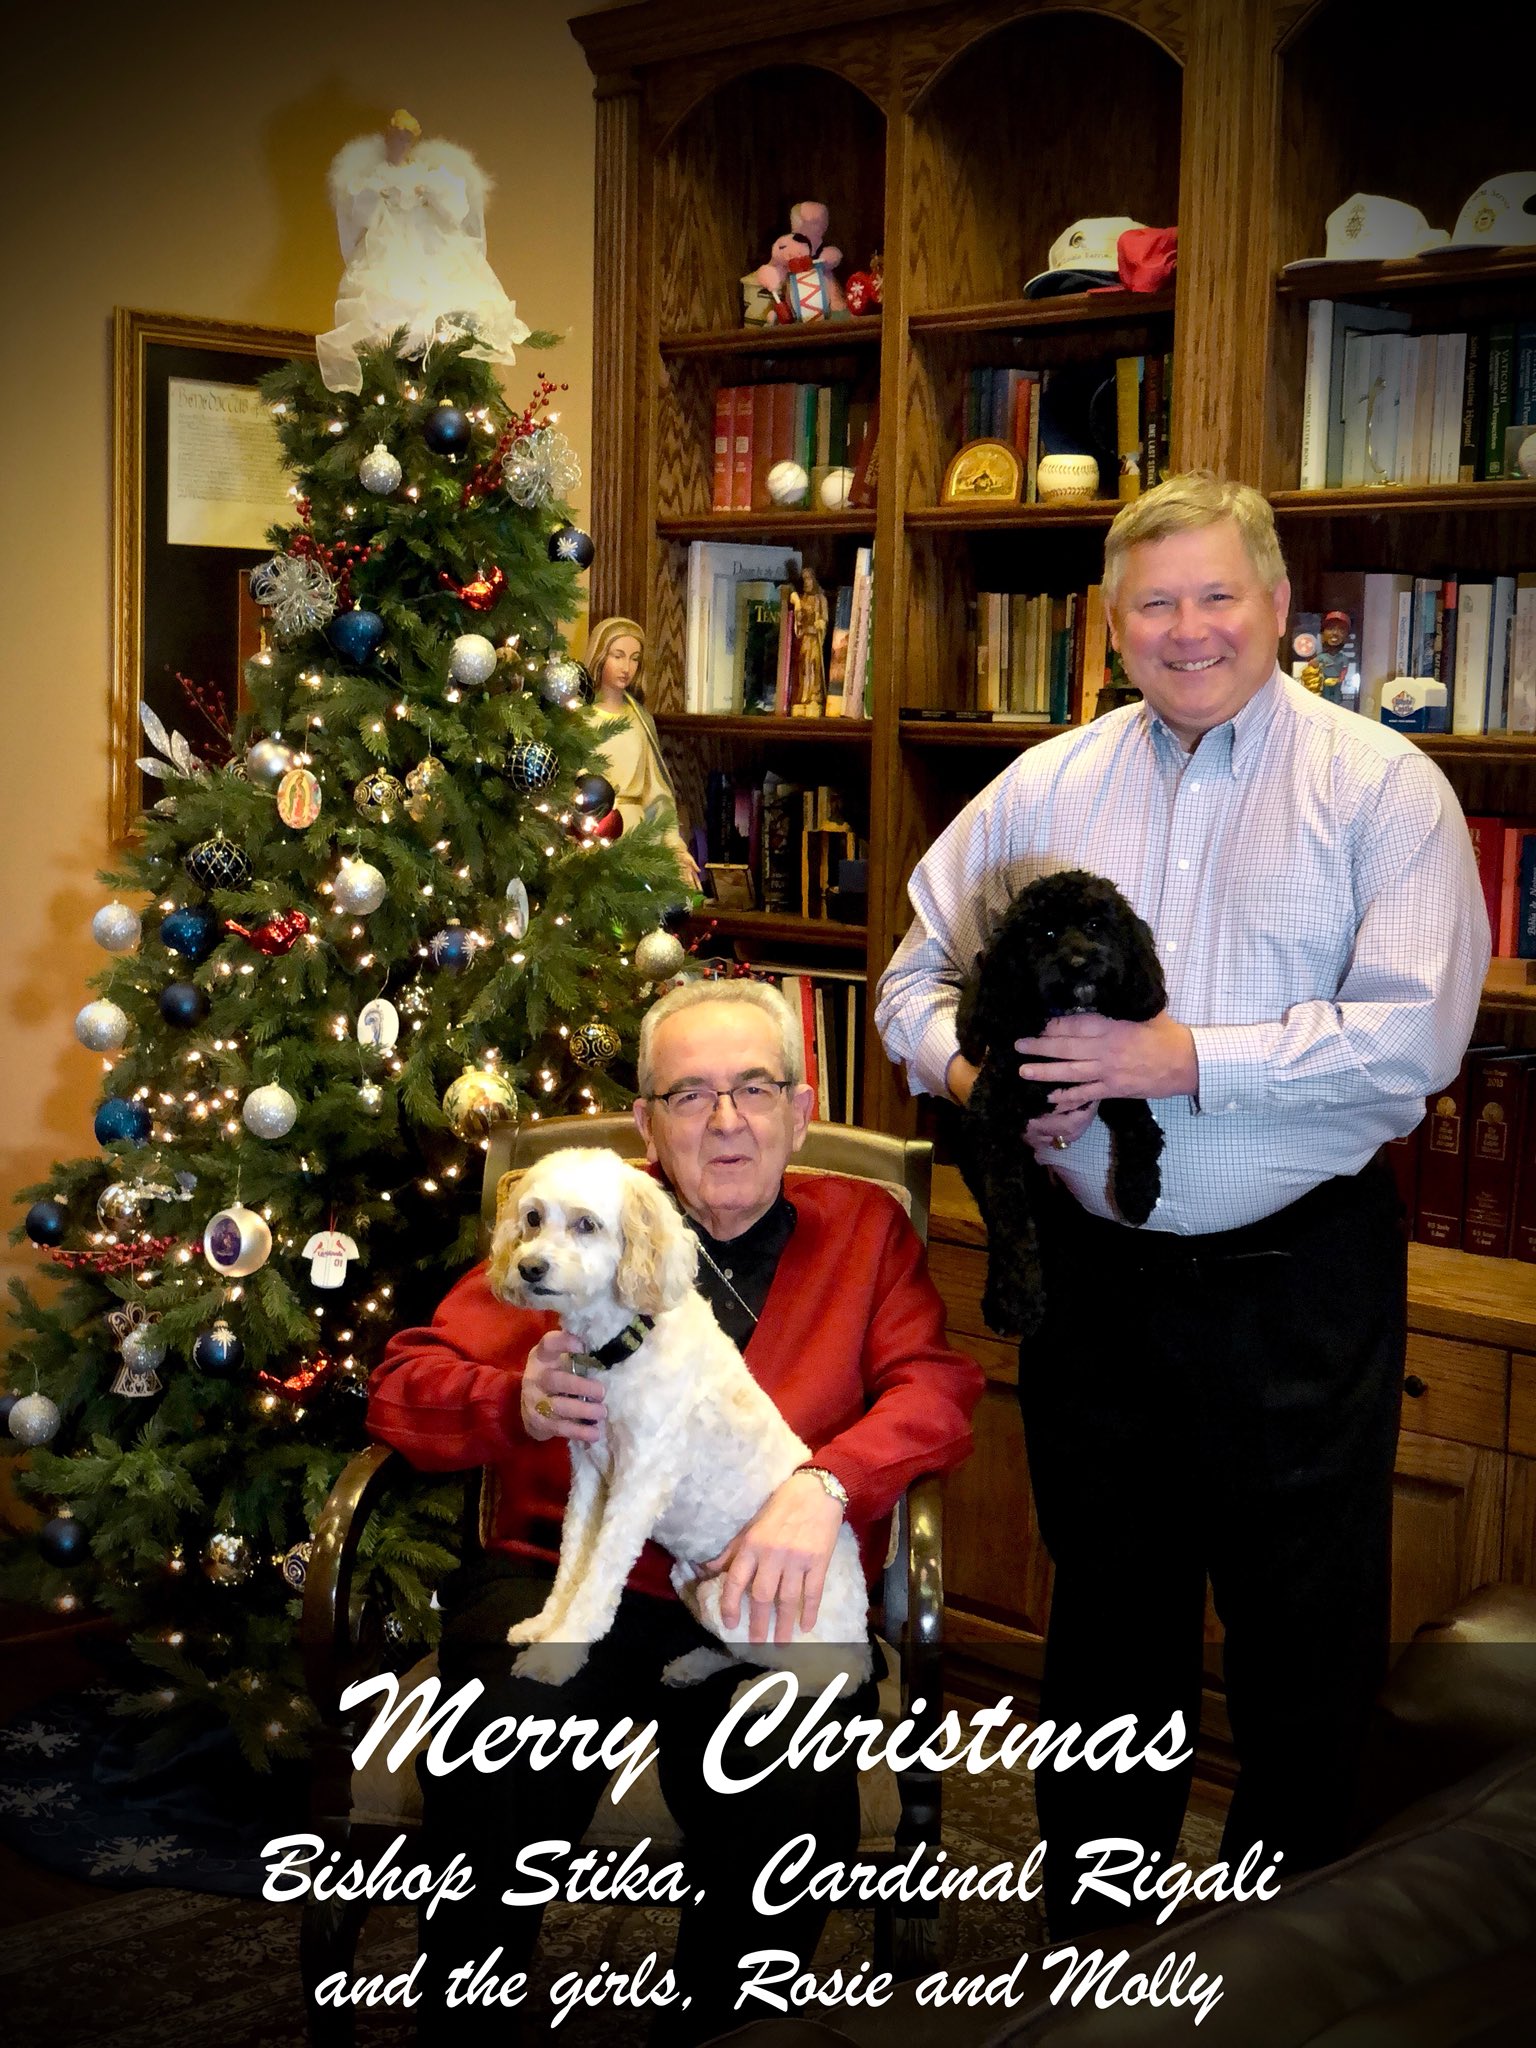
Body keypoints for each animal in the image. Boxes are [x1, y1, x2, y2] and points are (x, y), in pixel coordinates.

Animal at [493, 1155, 876, 1695]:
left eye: (586, 1224)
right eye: (531, 1218)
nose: (529, 1268)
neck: (622, 1344)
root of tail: (863, 1642)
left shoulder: (638, 1486)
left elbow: (597, 1582)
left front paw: (555, 1658)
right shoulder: (589, 1473)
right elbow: (570, 1562)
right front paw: (545, 1626)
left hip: (737, 1602)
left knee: (822, 1676)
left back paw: (759, 1695)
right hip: (689, 1581)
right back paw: (694, 1666)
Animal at [962, 868, 1163, 1335]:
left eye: (1095, 925)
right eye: (1047, 933)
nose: (1078, 963)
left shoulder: (1107, 1082)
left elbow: (1142, 1129)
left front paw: (1137, 1193)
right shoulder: (993, 1127)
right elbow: (1012, 1220)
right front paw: (1020, 1301)